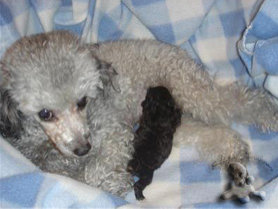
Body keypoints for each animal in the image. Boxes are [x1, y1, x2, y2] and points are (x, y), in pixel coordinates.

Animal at [0, 31, 278, 198]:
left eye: (82, 101)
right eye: (45, 113)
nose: (83, 149)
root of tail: (176, 51)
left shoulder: (115, 136)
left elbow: (92, 174)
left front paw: (115, 182)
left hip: (193, 91)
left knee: (237, 100)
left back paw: (269, 114)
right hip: (174, 119)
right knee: (206, 131)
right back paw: (231, 150)